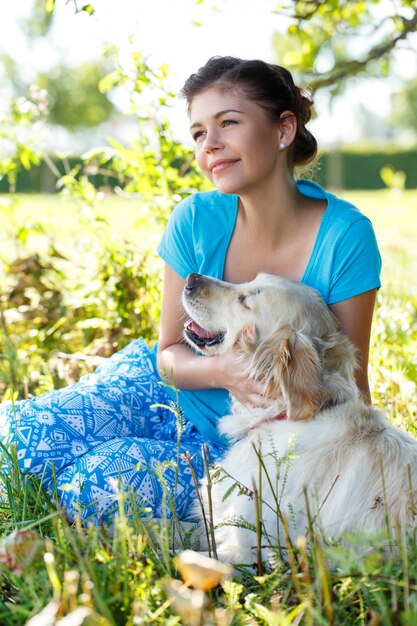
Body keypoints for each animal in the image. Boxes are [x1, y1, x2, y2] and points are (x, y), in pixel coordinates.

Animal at [183, 270, 417, 564]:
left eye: (245, 300)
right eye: (248, 282)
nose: (190, 279)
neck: (283, 416)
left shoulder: (246, 549)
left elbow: (186, 555)